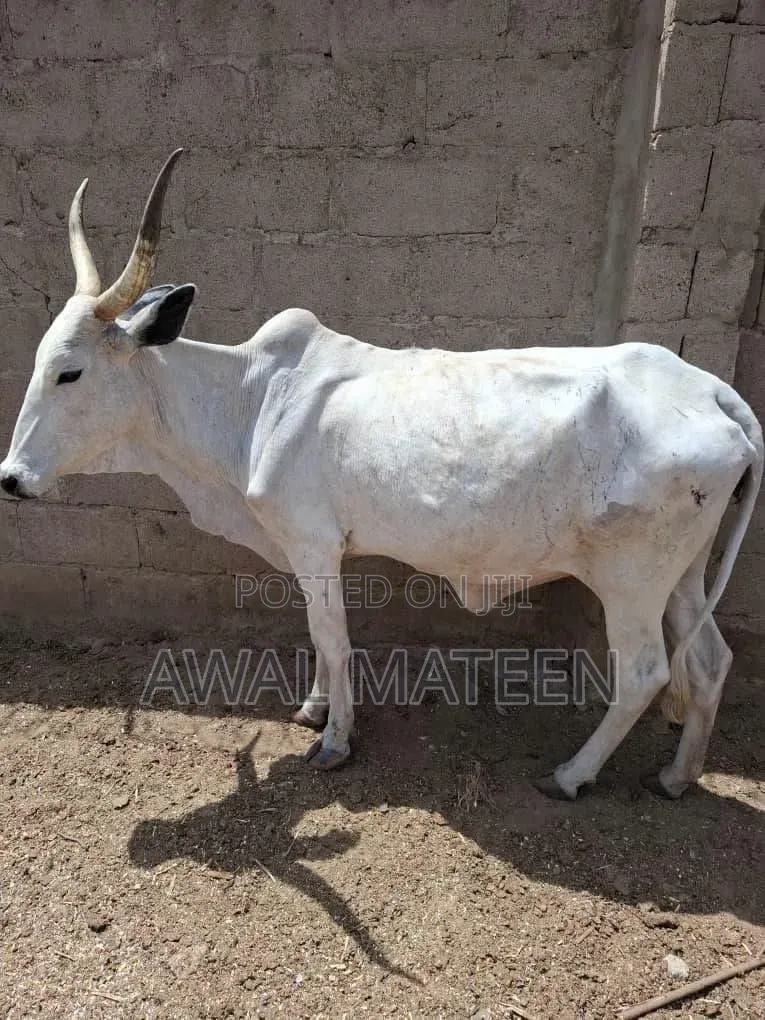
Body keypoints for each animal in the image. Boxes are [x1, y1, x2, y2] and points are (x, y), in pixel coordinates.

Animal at [1, 150, 762, 801]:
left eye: (69, 372)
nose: (11, 478)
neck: (250, 399)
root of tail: (714, 393)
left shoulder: (313, 543)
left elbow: (333, 638)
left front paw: (336, 740)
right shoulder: (307, 551)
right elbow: (315, 634)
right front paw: (313, 710)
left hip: (631, 579)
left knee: (645, 673)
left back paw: (572, 774)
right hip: (682, 575)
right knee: (709, 661)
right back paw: (677, 776)